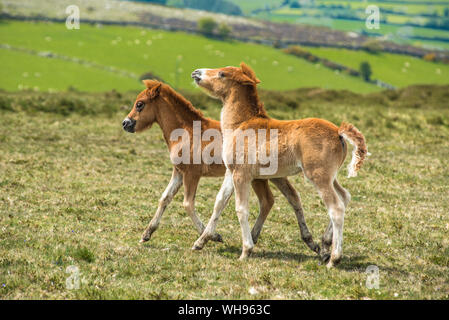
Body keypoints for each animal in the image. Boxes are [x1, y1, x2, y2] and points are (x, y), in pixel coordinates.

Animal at [122, 80, 318, 255]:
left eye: (140, 104)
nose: (126, 123)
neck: (186, 131)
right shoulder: (178, 172)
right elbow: (165, 198)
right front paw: (146, 234)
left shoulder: (192, 174)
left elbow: (187, 204)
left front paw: (211, 236)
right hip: (271, 175)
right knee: (283, 198)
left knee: (273, 200)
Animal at [191, 62, 366, 268]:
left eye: (222, 74)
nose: (196, 72)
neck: (240, 124)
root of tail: (339, 131)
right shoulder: (230, 172)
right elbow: (219, 203)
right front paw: (200, 242)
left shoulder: (241, 174)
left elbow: (241, 209)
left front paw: (246, 250)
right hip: (330, 176)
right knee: (345, 196)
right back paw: (324, 243)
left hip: (318, 176)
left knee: (336, 208)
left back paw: (333, 259)